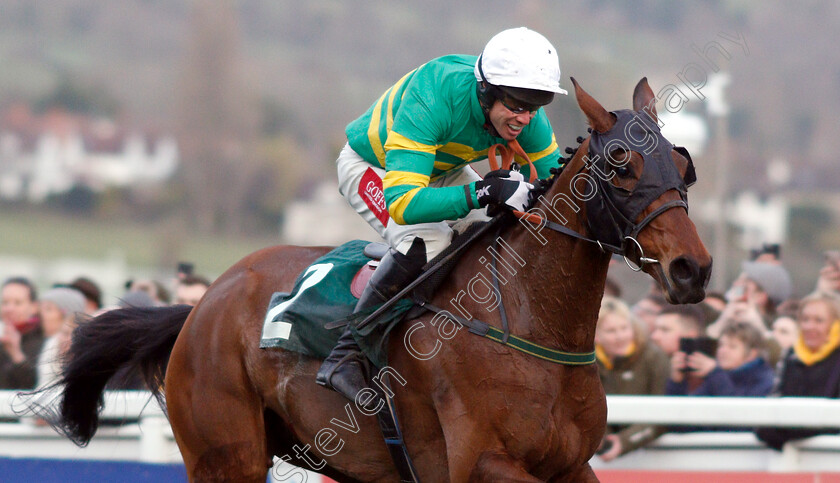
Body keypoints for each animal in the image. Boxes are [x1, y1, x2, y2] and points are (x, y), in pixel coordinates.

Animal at [37, 77, 708, 482]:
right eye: (620, 163)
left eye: (683, 166)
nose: (693, 269)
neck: (529, 324)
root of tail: (201, 306)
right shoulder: (481, 463)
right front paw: (506, 189)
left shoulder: (571, 466)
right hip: (226, 456)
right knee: (410, 234)